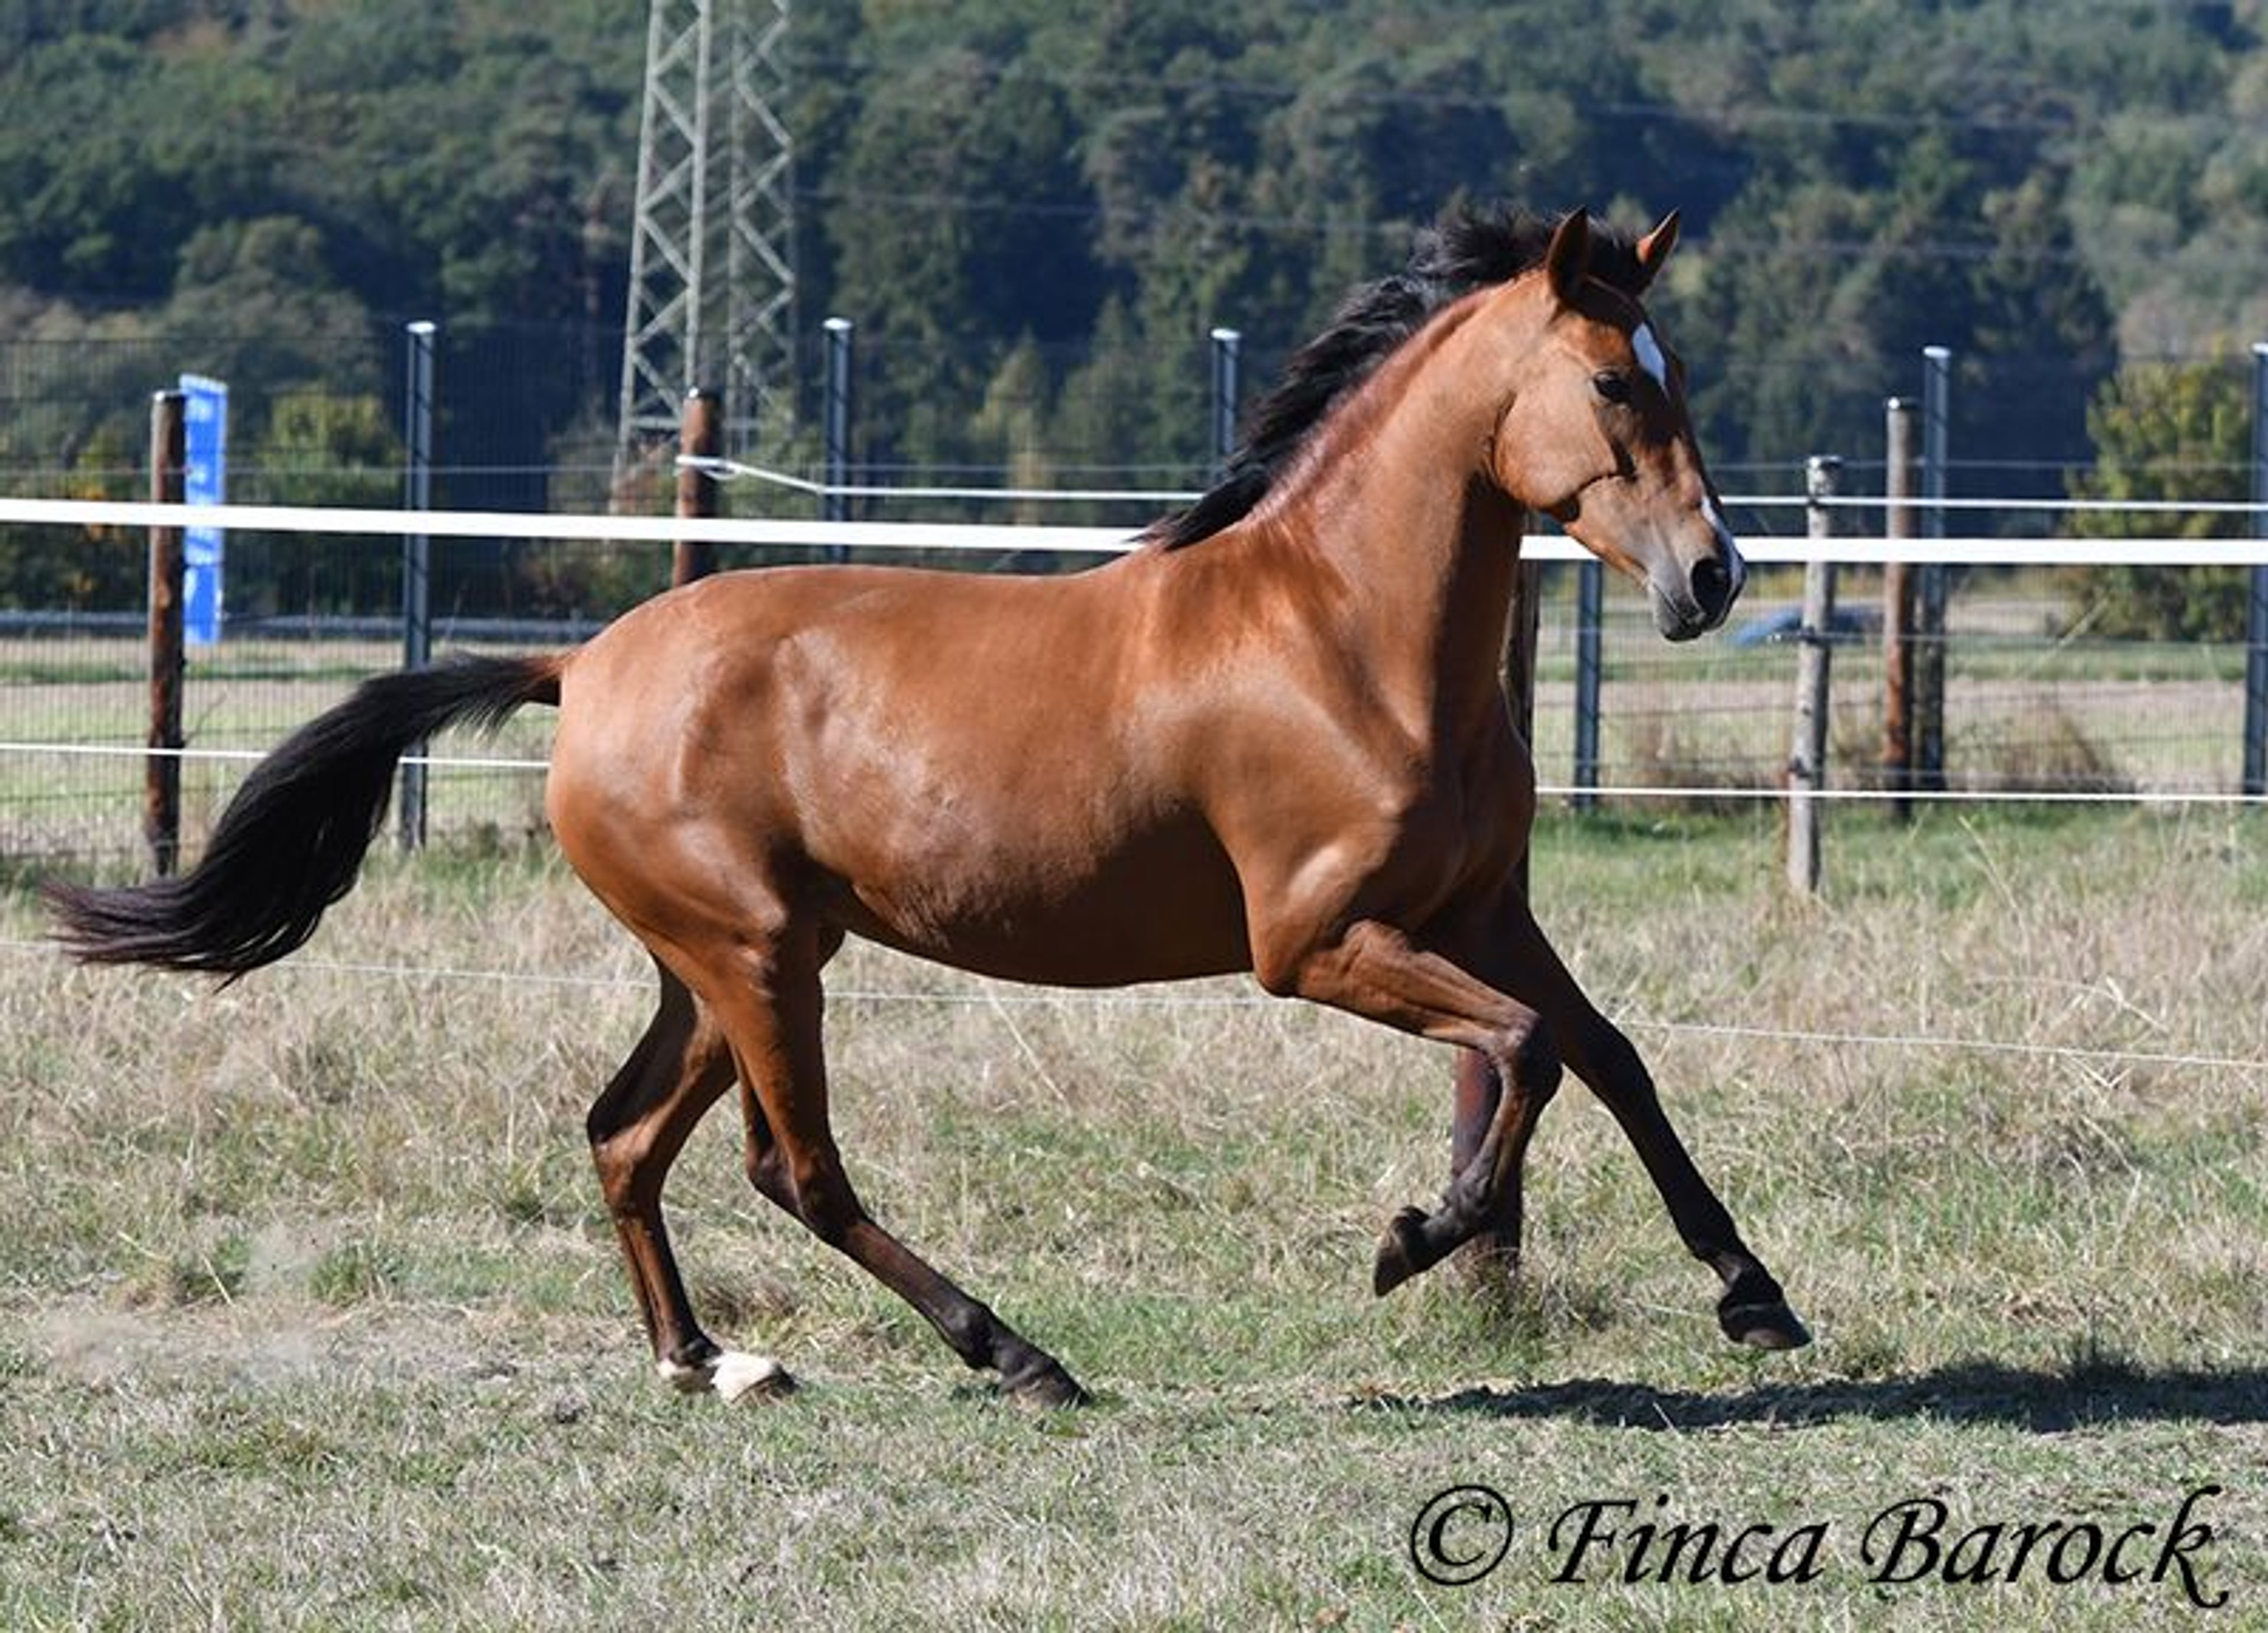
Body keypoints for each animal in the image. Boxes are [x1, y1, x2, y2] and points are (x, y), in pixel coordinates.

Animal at [48, 206, 1807, 1405]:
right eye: (1613, 383)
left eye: (1673, 376)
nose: (1714, 578)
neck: (1343, 634)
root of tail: (587, 662)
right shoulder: (1313, 942)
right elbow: (1519, 1055)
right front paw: (1416, 1236)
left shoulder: (1480, 907)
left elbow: (1607, 1055)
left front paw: (1753, 1293)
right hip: (756, 957)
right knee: (794, 1170)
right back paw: (1013, 1353)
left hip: (727, 964)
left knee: (625, 1136)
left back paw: (708, 1362)